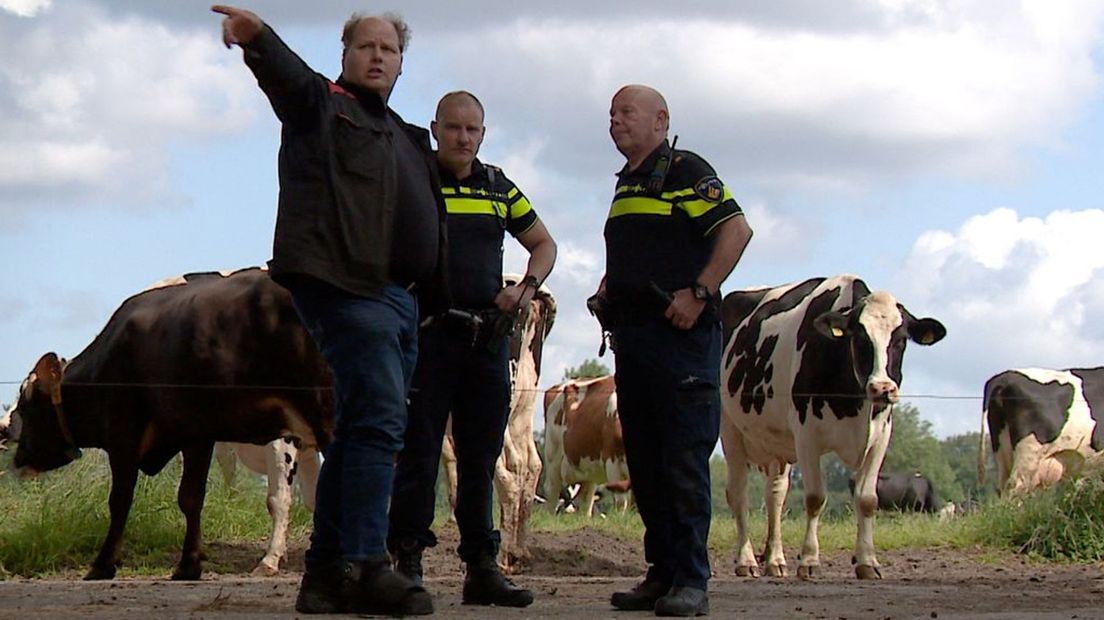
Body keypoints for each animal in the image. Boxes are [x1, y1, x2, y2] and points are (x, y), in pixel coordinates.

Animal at [719, 272, 945, 578]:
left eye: (900, 340)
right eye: (860, 337)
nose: (882, 388)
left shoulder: (881, 436)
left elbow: (867, 499)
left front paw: (867, 561)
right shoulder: (806, 435)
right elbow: (815, 498)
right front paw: (809, 560)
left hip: (777, 443)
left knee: (775, 496)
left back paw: (775, 560)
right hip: (729, 428)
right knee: (738, 493)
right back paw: (746, 560)